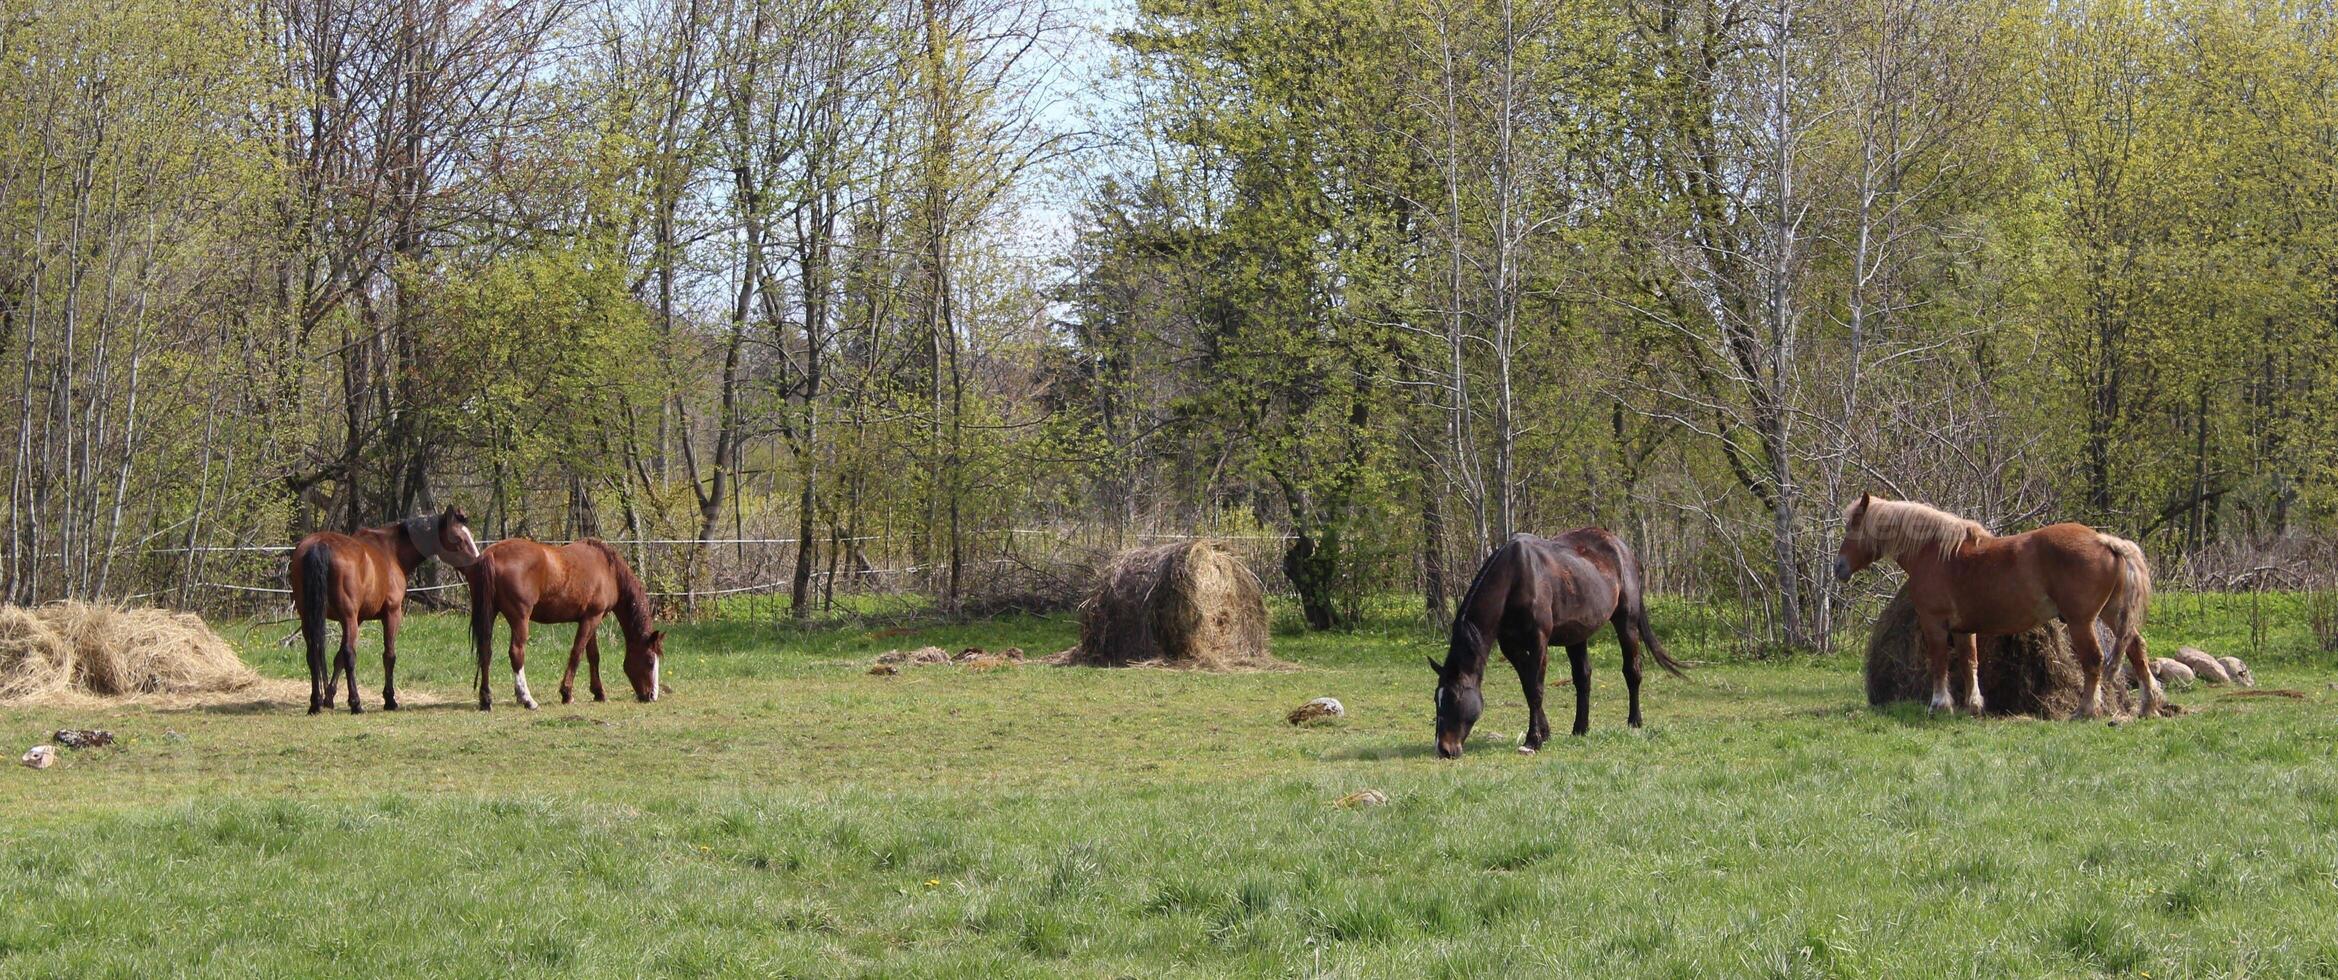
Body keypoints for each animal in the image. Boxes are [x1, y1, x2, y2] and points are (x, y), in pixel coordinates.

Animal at [287, 507, 479, 715]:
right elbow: (389, 655)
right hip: (347, 619)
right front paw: (390, 699)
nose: (477, 563)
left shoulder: (358, 619)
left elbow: (337, 658)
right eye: (459, 538)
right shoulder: (391, 614)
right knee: (349, 654)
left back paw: (315, 703)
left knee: (313, 654)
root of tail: (320, 545)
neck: (391, 551)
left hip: (310, 619)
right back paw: (356, 703)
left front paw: (329, 697)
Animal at [460, 537, 659, 715]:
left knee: (485, 651)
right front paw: (567, 693)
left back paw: (486, 700)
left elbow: (593, 656)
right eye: (650, 660)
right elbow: (577, 653)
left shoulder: (590, 618)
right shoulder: (592, 618)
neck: (609, 570)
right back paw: (528, 700)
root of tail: (492, 554)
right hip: (520, 618)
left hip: (489, 613)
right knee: (516, 653)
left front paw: (599, 692)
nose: (652, 696)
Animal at [1421, 533, 1683, 762]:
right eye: (1436, 699)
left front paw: (1533, 740)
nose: (1443, 749)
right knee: (1583, 678)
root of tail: (1621, 547)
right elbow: (1528, 687)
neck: (1516, 577)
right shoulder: (1511, 647)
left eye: (1454, 698)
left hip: (1626, 622)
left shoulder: (1539, 642)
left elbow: (1536, 689)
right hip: (1577, 635)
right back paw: (1580, 729)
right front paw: (1544, 733)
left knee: (1632, 671)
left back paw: (1634, 722)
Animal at [1832, 498, 2160, 720]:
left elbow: (1939, 663)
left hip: (2082, 622)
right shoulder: (1963, 629)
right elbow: (1970, 663)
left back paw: (2086, 709)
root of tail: (2104, 540)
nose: (1839, 567)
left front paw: (1939, 704)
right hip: (2112, 615)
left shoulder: (1934, 623)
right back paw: (2149, 705)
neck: (1935, 551)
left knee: (2093, 660)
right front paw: (1973, 705)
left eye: (1853, 526)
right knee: (2136, 649)